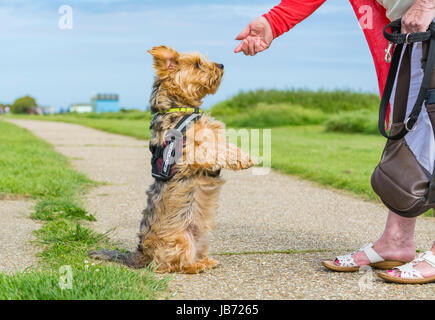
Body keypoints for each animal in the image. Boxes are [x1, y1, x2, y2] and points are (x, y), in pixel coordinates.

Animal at [90, 46, 258, 274]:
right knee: (171, 264)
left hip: (203, 236)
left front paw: (245, 155)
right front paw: (241, 159)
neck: (180, 108)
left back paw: (206, 261)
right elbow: (215, 149)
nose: (221, 65)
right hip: (180, 239)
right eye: (196, 64)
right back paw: (195, 266)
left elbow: (224, 144)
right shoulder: (190, 151)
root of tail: (140, 255)